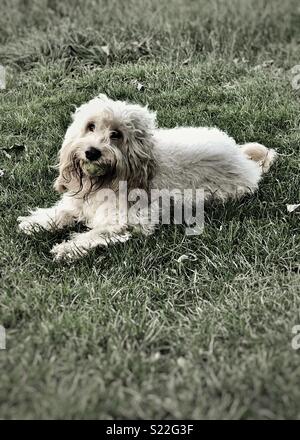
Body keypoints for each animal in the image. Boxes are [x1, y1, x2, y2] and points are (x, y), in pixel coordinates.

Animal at [18, 93, 276, 258]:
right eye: (90, 126)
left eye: (116, 134)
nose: (92, 152)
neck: (104, 180)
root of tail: (241, 156)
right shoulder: (78, 203)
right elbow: (61, 212)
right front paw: (35, 223)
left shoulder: (127, 222)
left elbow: (95, 233)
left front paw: (68, 248)